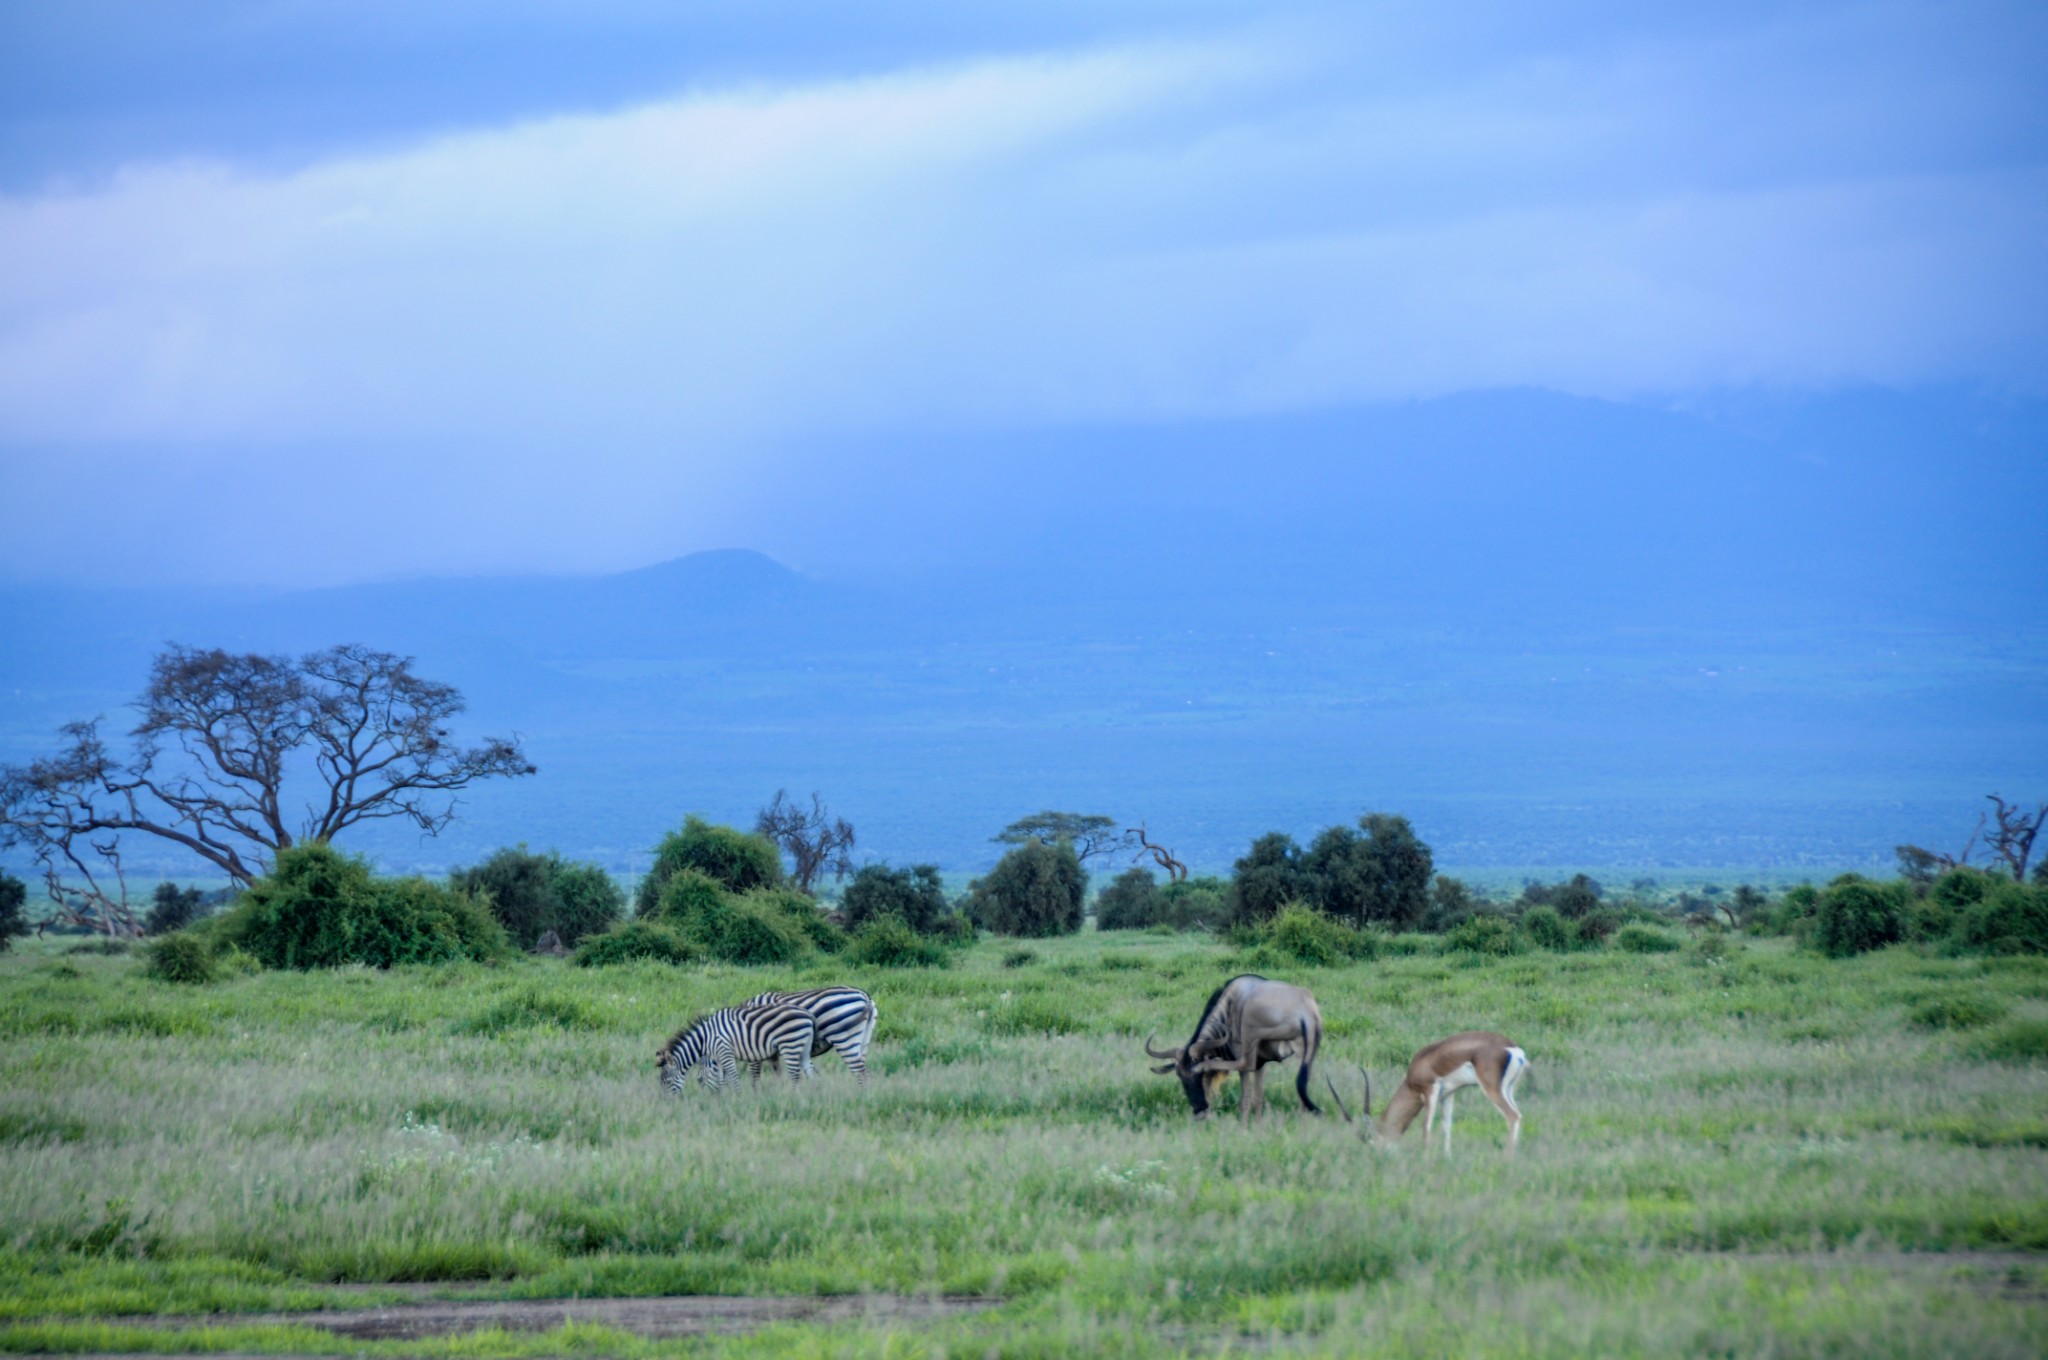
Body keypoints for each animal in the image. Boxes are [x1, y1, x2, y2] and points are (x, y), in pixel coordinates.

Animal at [655, 999, 815, 1097]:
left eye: (667, 1082)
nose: (666, 1103)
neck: (705, 1039)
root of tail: (807, 1013)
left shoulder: (725, 1052)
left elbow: (734, 1077)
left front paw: (738, 1097)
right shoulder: (719, 1058)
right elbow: (721, 1080)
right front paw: (721, 1099)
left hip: (790, 1045)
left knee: (795, 1076)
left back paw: (793, 1097)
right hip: (803, 1047)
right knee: (812, 1073)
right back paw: (814, 1097)